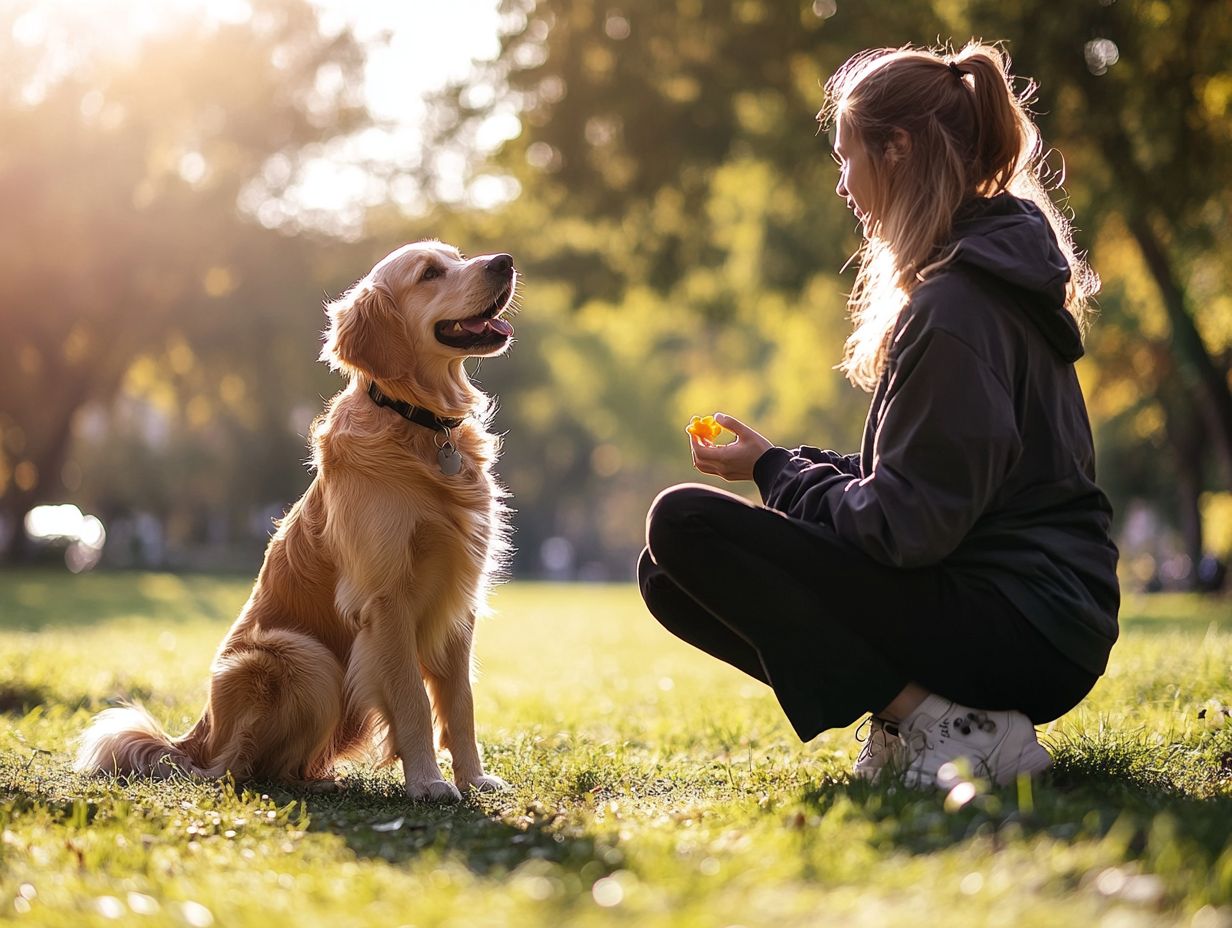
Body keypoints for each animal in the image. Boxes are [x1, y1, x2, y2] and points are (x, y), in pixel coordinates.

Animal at [73, 242, 514, 798]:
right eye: (430, 273)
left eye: (458, 256)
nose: (505, 261)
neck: (420, 424)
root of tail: (195, 739)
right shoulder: (386, 598)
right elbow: (413, 700)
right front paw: (429, 784)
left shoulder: (459, 598)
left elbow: (460, 702)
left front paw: (473, 777)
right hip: (304, 656)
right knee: (242, 769)